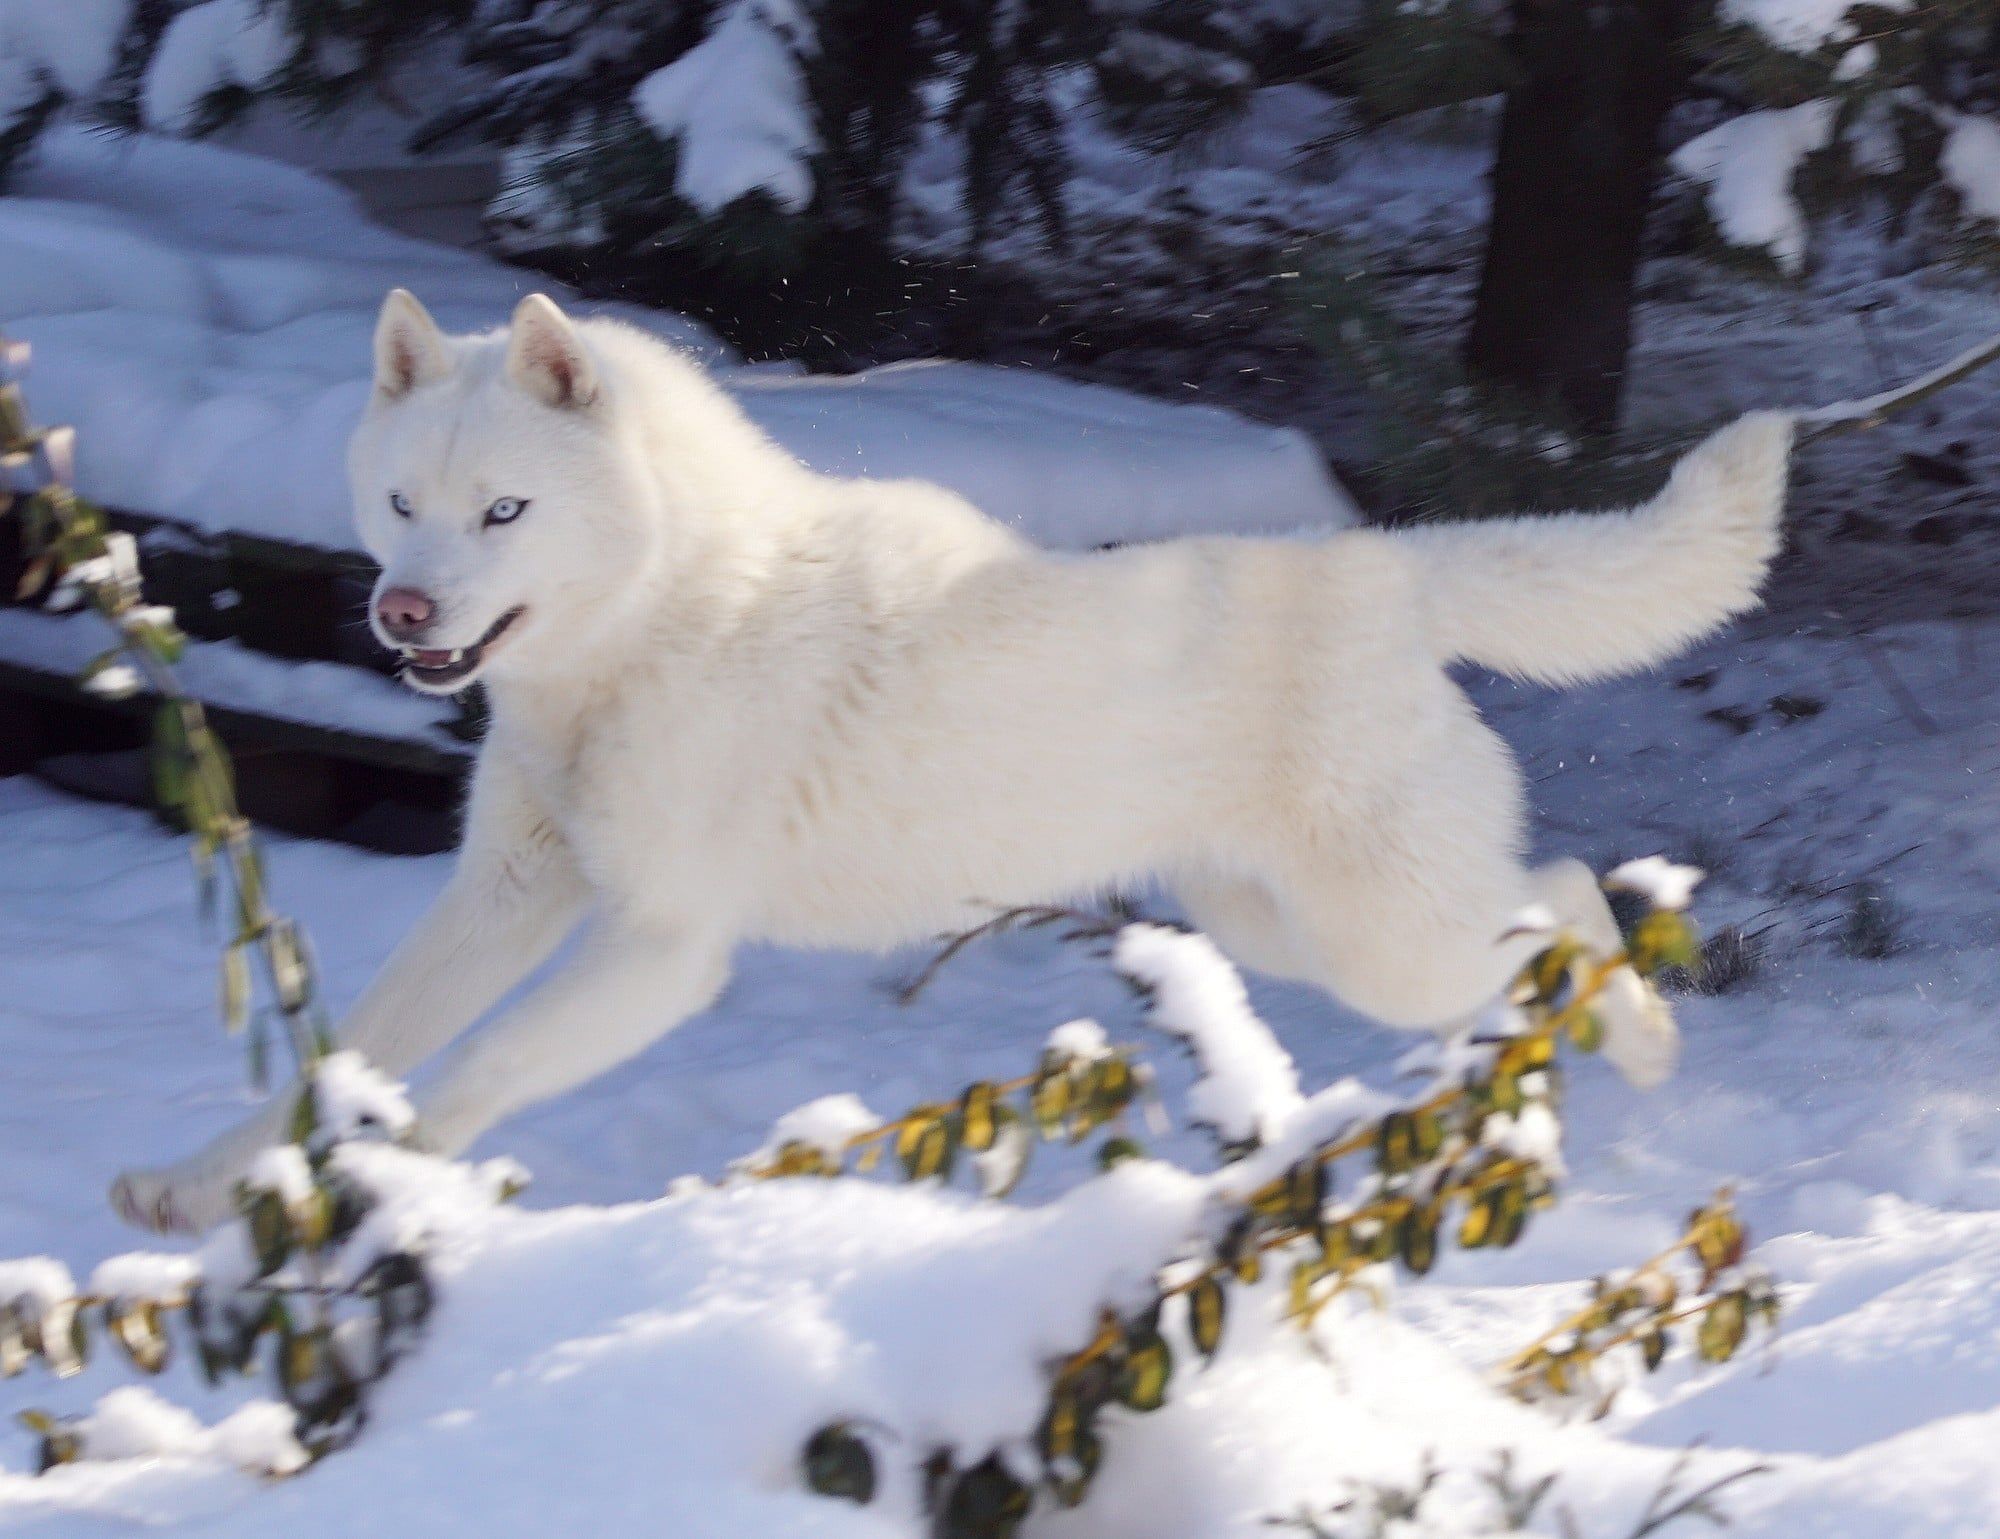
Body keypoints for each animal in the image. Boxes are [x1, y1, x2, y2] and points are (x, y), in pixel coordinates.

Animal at [109, 283, 1800, 1223]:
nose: (400, 614)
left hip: (1382, 934)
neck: (654, 625)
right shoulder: (507, 895)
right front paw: (206, 1184)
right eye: (404, 503)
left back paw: (1643, 1045)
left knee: (1570, 895)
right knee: (1552, 905)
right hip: (1289, 927)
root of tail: (1393, 567)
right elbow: (345, 1053)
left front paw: (360, 1197)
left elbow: (467, 1072)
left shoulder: (659, 945)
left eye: (505, 512)